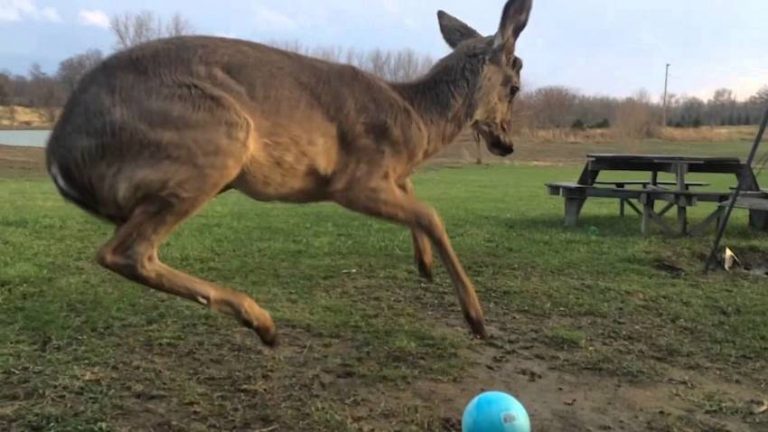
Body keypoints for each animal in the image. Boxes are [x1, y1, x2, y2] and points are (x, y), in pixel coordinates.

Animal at [46, 0, 533, 347]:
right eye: (514, 86)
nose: (506, 144)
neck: (417, 119)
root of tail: (57, 155)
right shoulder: (351, 178)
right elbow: (430, 212)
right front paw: (477, 319)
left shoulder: (384, 174)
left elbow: (415, 195)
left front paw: (424, 264)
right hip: (215, 139)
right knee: (125, 251)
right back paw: (262, 322)